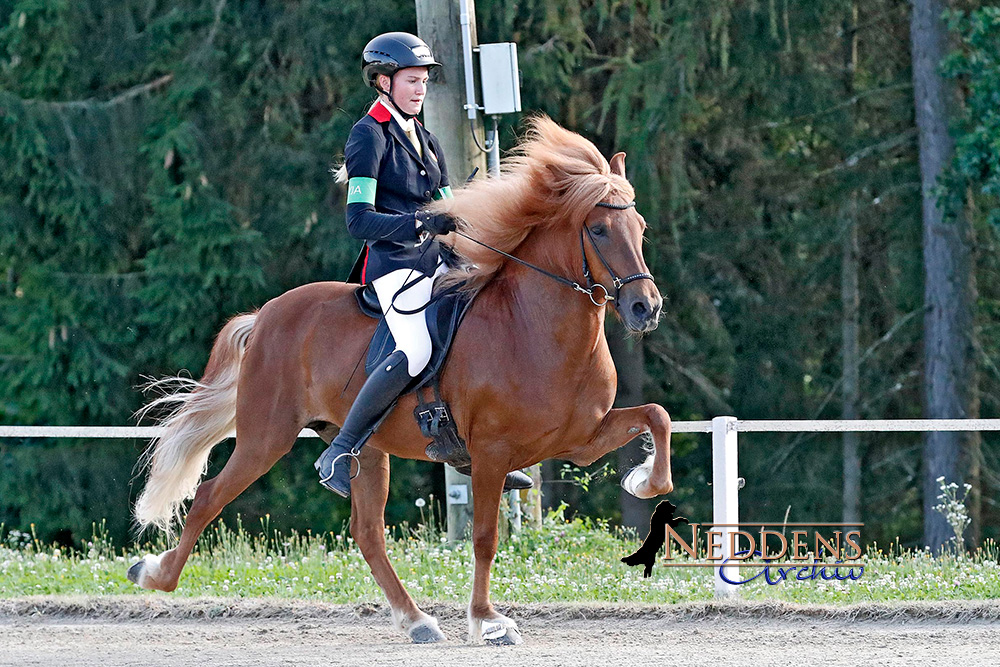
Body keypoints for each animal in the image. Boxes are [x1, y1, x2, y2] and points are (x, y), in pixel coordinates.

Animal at [127, 117, 672, 644]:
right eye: (599, 229)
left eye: (641, 226)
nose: (645, 308)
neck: (534, 326)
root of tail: (264, 316)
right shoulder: (491, 453)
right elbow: (485, 537)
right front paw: (487, 620)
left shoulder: (580, 439)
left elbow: (657, 416)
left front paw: (645, 481)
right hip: (266, 437)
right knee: (208, 497)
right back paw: (153, 574)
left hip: (364, 447)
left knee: (367, 532)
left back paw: (417, 621)